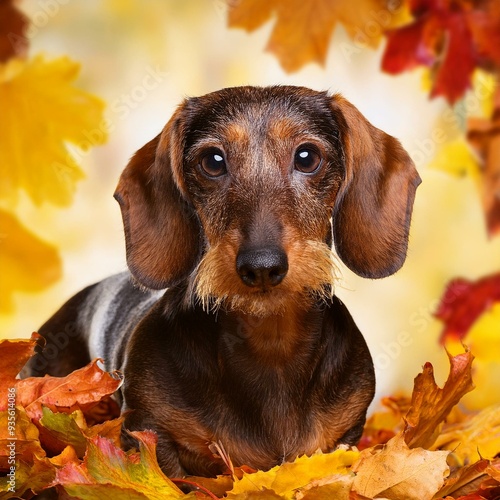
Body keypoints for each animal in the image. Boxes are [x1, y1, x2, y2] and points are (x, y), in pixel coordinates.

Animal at [24, 86, 422, 476]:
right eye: (213, 161)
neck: (270, 343)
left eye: (308, 157)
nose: (261, 266)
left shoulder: (347, 434)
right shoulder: (147, 428)